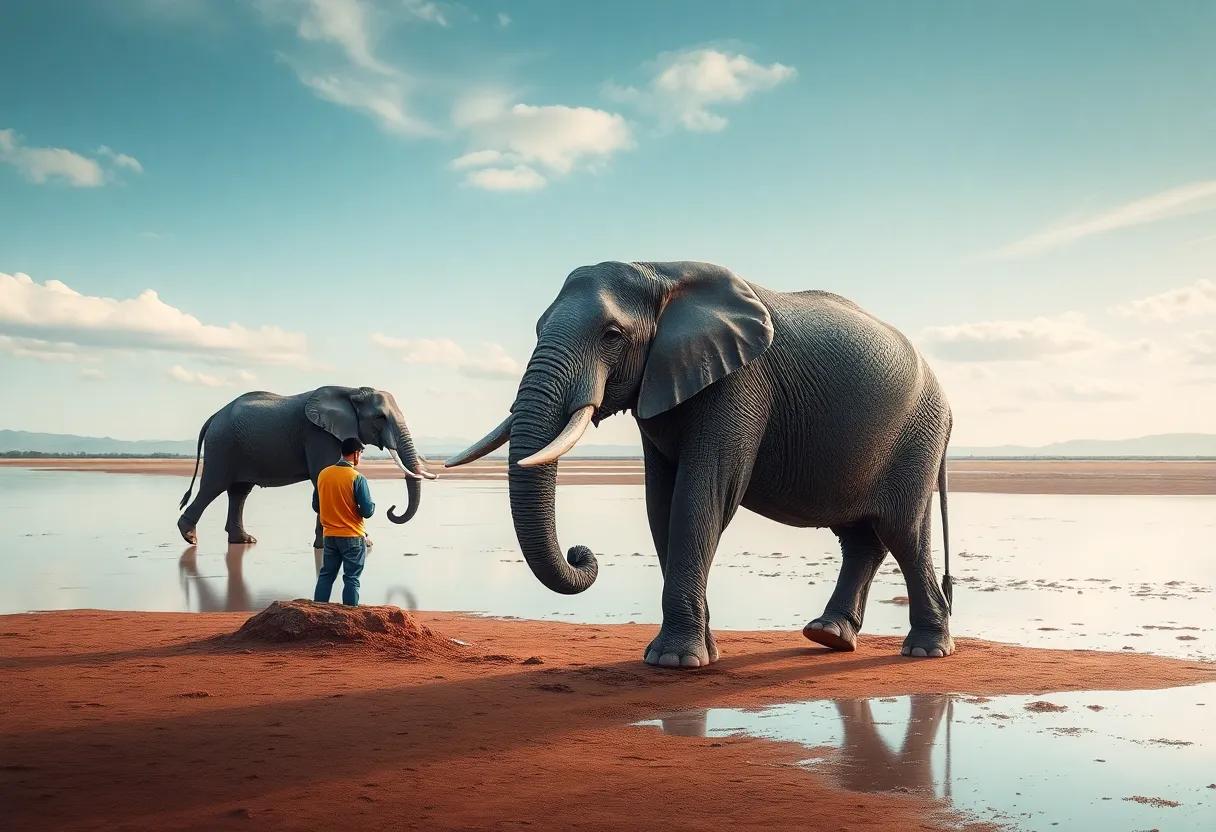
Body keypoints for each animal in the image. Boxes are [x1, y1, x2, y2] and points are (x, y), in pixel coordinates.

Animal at [177, 386, 435, 547]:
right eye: (380, 418)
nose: (391, 509)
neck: (352, 392)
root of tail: (213, 417)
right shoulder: (320, 435)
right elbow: (321, 474)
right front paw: (360, 544)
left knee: (239, 491)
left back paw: (244, 541)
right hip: (223, 445)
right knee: (214, 485)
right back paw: (190, 537)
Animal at [448, 261, 954, 669]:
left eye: (612, 335)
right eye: (537, 329)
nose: (581, 553)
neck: (659, 273)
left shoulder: (740, 382)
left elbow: (701, 495)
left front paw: (675, 662)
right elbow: (661, 504)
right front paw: (697, 654)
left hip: (917, 436)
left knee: (902, 531)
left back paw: (925, 650)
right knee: (861, 538)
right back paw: (829, 636)